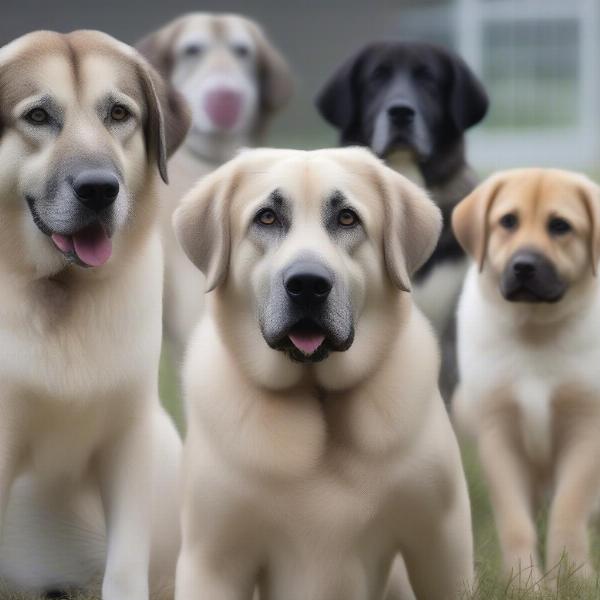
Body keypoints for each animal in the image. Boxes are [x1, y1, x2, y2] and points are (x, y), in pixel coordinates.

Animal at [0, 29, 189, 600]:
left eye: (119, 113)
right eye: (39, 115)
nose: (100, 188)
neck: (62, 292)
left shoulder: (129, 436)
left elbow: (125, 567)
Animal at [172, 146, 474, 600]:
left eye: (347, 218)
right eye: (266, 217)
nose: (308, 285)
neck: (317, 394)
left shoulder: (440, 540)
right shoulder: (213, 558)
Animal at [452, 168, 600, 580]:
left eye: (560, 226)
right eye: (508, 221)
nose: (524, 266)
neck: (535, 332)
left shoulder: (586, 428)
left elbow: (569, 509)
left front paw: (575, 578)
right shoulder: (498, 433)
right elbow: (515, 522)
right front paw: (526, 583)